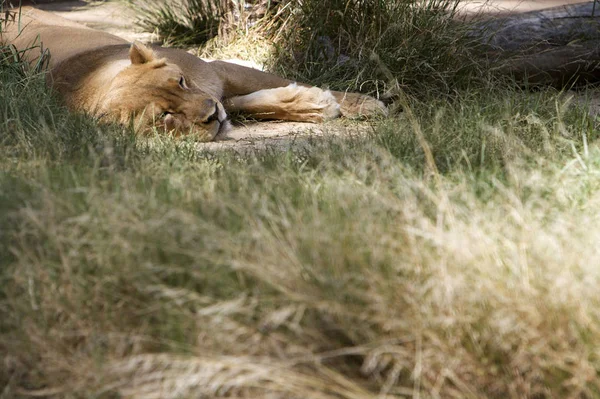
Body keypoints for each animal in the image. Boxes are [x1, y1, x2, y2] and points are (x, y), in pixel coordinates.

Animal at [1, 6, 384, 142]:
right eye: (166, 116)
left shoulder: (215, 71)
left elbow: (266, 88)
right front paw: (316, 104)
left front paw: (362, 104)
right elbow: (257, 104)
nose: (212, 116)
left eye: (181, 81)